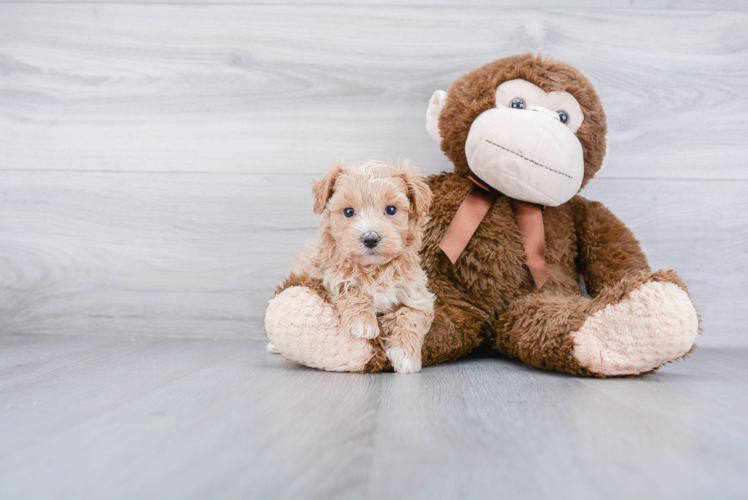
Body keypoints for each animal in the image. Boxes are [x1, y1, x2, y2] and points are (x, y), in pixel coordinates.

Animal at [268, 159, 436, 372]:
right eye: (348, 211)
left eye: (391, 209)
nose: (370, 238)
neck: (374, 270)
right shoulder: (327, 274)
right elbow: (350, 286)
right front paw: (362, 323)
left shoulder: (415, 292)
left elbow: (412, 315)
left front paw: (406, 356)